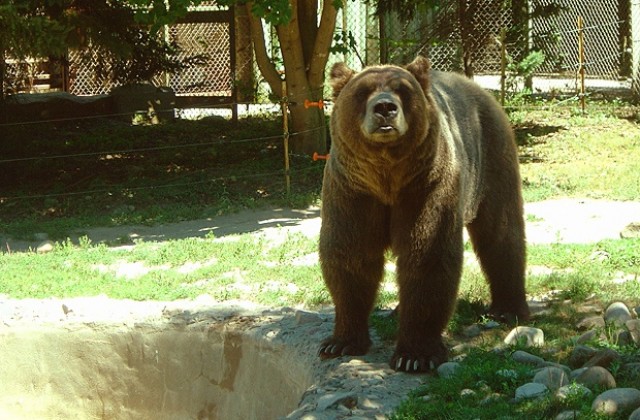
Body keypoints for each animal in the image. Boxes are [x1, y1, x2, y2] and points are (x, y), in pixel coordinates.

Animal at [318, 55, 528, 370]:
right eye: (363, 91)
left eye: (402, 90)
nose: (384, 108)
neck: (388, 176)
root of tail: (477, 88)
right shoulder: (353, 190)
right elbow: (351, 254)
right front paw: (340, 342)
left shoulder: (427, 184)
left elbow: (427, 253)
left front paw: (415, 356)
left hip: (491, 157)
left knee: (501, 233)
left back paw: (508, 309)